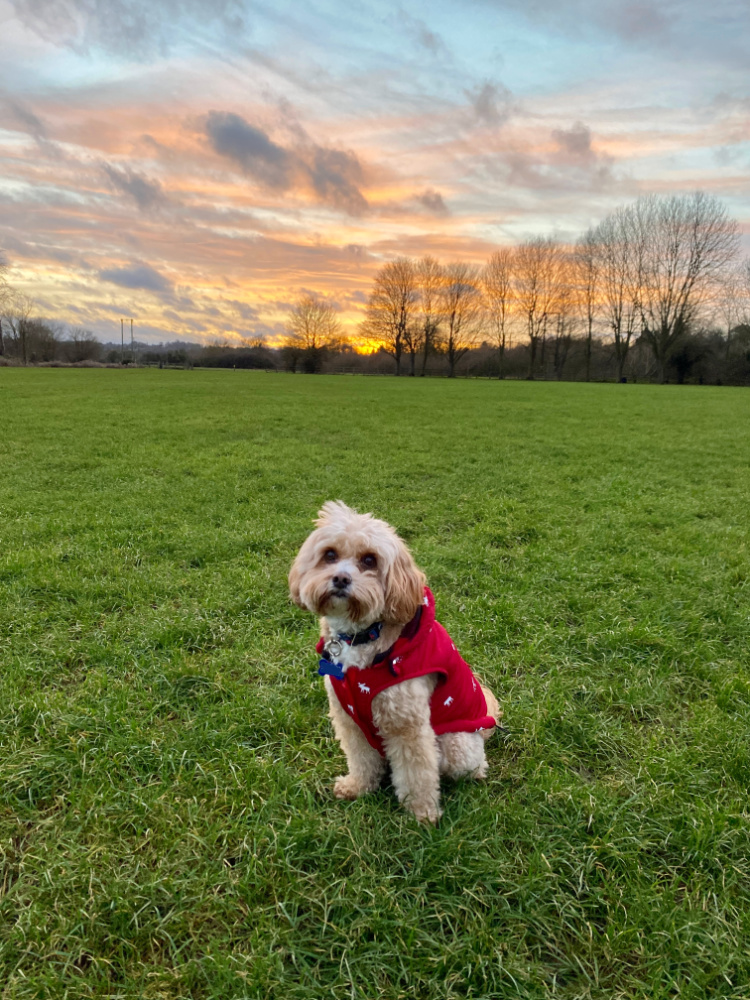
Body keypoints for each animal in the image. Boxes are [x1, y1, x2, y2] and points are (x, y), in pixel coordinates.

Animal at [290, 500, 502, 820]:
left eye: (369, 560)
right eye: (330, 554)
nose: (340, 578)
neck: (362, 636)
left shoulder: (407, 724)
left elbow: (417, 773)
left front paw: (422, 813)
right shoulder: (347, 716)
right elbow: (361, 758)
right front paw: (358, 786)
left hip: (456, 745)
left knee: (471, 768)